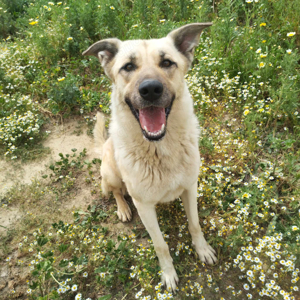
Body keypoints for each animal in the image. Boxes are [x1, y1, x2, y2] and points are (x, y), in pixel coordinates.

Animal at [83, 24, 217, 292]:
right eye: (128, 67)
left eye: (166, 62)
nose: (151, 90)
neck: (160, 150)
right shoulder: (144, 206)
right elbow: (160, 244)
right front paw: (168, 273)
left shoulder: (190, 187)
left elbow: (195, 224)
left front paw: (202, 249)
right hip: (111, 173)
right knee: (116, 192)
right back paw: (123, 207)